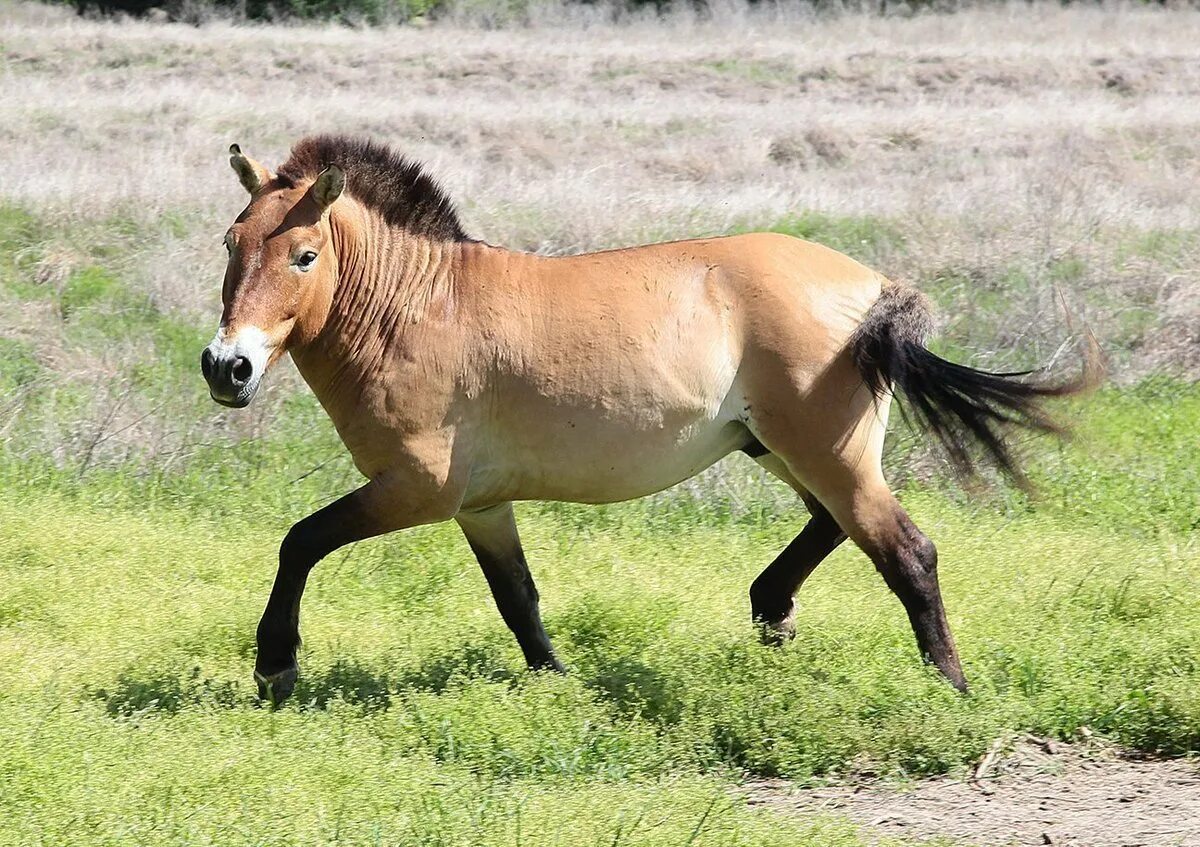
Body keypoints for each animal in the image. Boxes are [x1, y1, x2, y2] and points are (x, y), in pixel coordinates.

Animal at [204, 133, 1099, 700]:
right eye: (230, 244)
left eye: (304, 256)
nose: (226, 367)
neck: (416, 307)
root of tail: (875, 289)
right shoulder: (482, 506)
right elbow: (518, 599)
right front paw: (560, 685)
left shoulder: (417, 489)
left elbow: (300, 541)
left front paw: (275, 665)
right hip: (778, 448)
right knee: (832, 525)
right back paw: (773, 609)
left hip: (826, 453)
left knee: (907, 551)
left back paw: (950, 688)